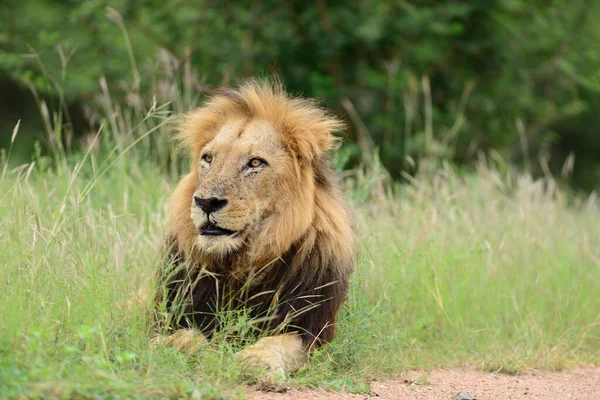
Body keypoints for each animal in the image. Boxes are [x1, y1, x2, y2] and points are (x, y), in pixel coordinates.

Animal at [151, 79, 356, 378]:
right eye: (208, 158)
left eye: (255, 163)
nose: (206, 202)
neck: (238, 266)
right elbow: (182, 335)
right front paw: (184, 348)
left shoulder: (312, 329)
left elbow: (283, 343)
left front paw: (256, 360)